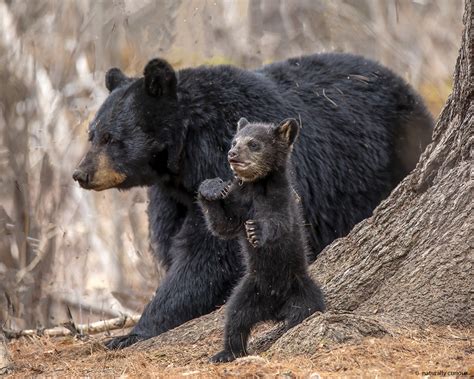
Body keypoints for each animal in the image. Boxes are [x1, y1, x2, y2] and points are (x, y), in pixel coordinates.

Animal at [197, 119, 326, 366]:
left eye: (254, 144)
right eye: (234, 141)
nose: (232, 154)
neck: (257, 186)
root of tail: (274, 308)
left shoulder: (281, 199)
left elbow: (279, 223)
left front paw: (255, 231)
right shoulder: (239, 202)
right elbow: (223, 225)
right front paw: (211, 188)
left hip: (301, 288)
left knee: (306, 310)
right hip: (249, 290)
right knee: (235, 318)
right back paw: (225, 353)